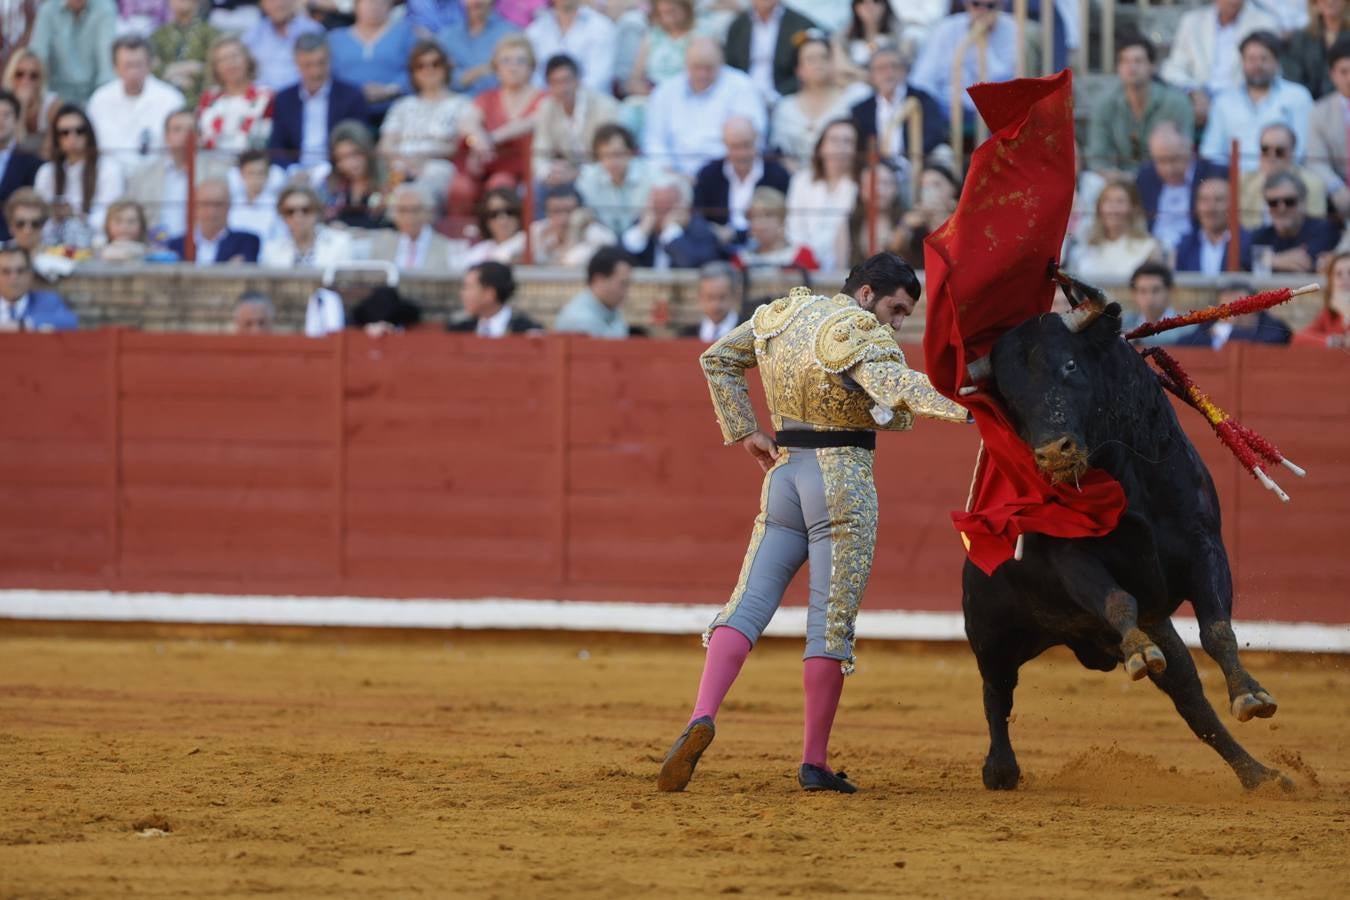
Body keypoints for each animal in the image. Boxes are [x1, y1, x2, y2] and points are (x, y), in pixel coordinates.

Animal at [966, 306, 1290, 793]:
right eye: (1007, 396)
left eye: (1071, 365)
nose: (1052, 454)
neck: (1127, 477)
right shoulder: (1074, 559)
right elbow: (1118, 600)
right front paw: (1138, 651)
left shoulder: (1205, 546)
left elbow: (1217, 629)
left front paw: (1251, 694)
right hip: (989, 633)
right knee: (995, 692)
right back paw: (1000, 769)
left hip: (1161, 631)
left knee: (1193, 702)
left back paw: (1259, 775)